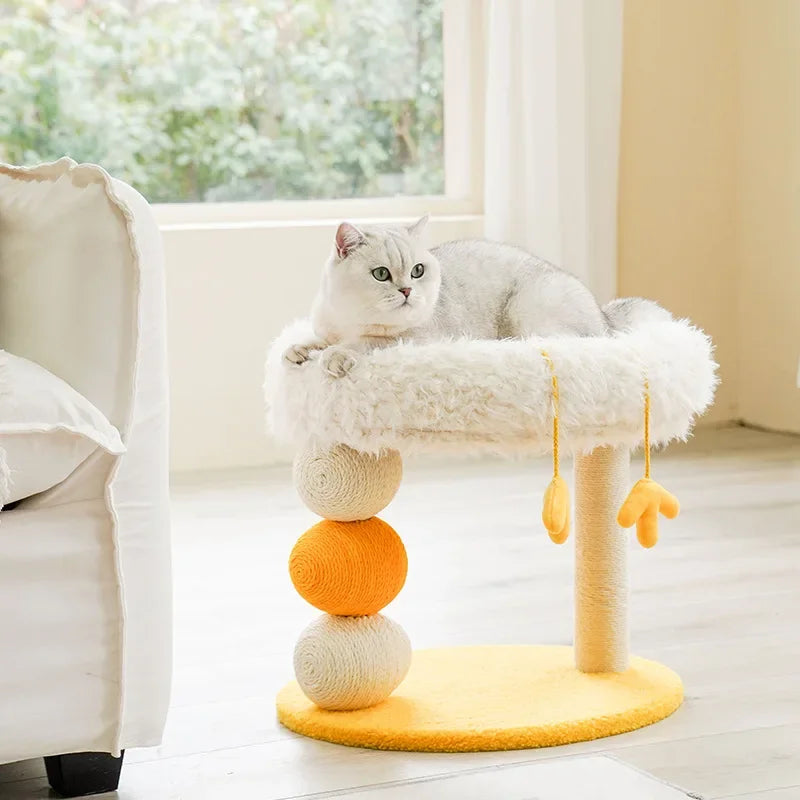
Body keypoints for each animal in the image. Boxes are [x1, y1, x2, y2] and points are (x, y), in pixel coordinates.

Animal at [284, 212, 652, 376]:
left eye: (417, 270)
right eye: (381, 274)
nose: (407, 290)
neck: (353, 315)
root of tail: (604, 315)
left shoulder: (412, 339)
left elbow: (361, 343)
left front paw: (335, 356)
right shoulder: (328, 326)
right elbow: (318, 339)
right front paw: (300, 350)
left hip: (530, 310)